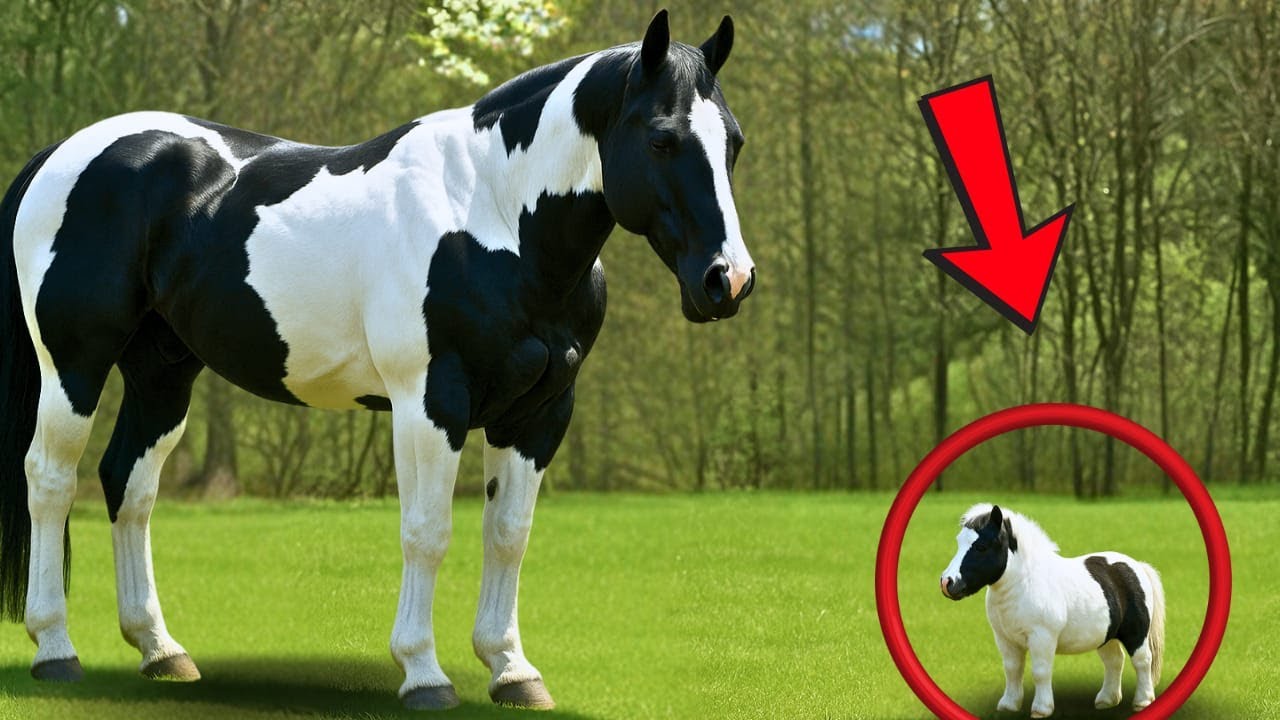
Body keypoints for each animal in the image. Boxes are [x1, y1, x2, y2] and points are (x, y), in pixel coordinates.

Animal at [0, 9, 754, 710]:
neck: (493, 214)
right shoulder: (430, 402)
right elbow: (428, 531)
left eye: (734, 142)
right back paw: (56, 649)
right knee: (50, 481)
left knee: (128, 484)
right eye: (662, 138)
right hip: (74, 364)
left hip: (162, 372)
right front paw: (423, 673)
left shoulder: (540, 412)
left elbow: (508, 535)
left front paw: (512, 670)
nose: (729, 280)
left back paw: (160, 651)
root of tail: (62, 152)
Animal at [939, 504, 1165, 718]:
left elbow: (1040, 672)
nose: (947, 583)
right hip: (1107, 636)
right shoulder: (1005, 639)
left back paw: (1142, 701)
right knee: (1115, 661)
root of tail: (1137, 566)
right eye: (959, 541)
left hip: (1136, 634)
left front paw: (1041, 709)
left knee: (1142, 661)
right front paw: (1008, 705)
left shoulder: (1042, 637)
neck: (1024, 583)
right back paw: (1106, 701)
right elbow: (1012, 669)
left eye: (981, 546)